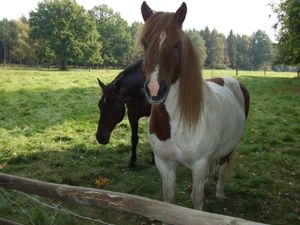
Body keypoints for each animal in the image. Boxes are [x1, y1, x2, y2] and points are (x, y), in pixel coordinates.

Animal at [139, 1, 250, 211]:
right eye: (144, 43)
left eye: (177, 44)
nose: (155, 89)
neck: (174, 123)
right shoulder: (164, 164)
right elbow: (169, 199)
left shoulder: (198, 165)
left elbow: (197, 199)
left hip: (230, 147)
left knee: (224, 167)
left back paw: (220, 192)